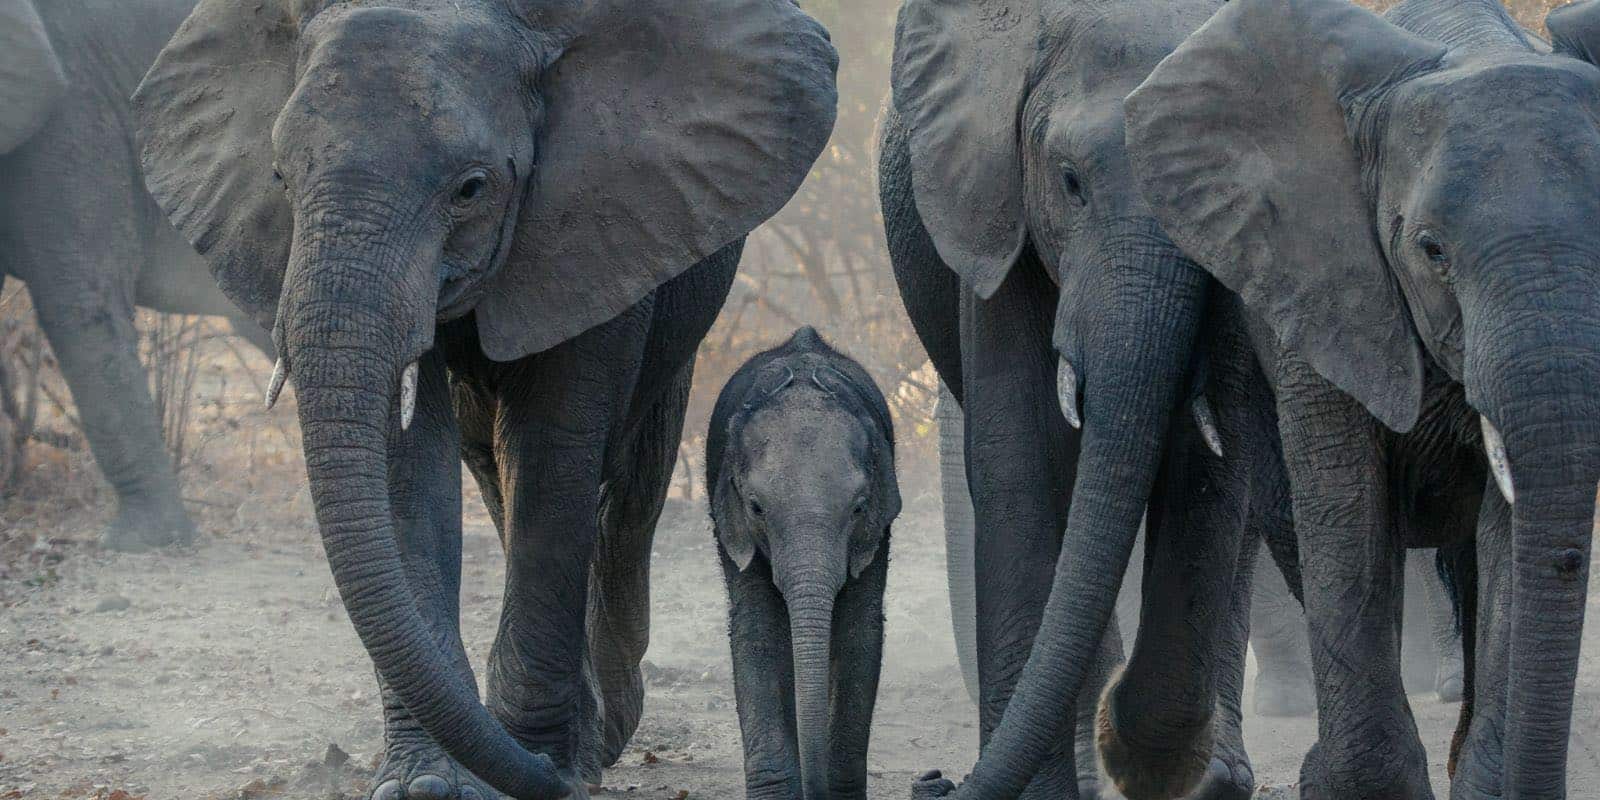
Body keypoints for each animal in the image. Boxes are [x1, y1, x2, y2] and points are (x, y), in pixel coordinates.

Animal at [134, 1, 838, 800]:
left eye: (470, 189)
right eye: (280, 178)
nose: (545, 775)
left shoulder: (601, 216)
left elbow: (554, 451)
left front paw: (540, 766)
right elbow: (408, 465)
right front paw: (424, 783)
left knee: (628, 490)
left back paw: (604, 732)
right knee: (496, 472)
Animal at [710, 326, 902, 800]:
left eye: (859, 507)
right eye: (756, 507)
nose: (817, 790)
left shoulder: (876, 530)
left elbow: (859, 631)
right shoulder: (734, 527)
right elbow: (757, 631)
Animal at [883, 1, 1280, 800]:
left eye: (1208, 195)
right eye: (1070, 182)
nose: (932, 781)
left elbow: (1213, 468)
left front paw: (1143, 749)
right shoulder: (996, 209)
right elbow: (1021, 460)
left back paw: (1214, 772)